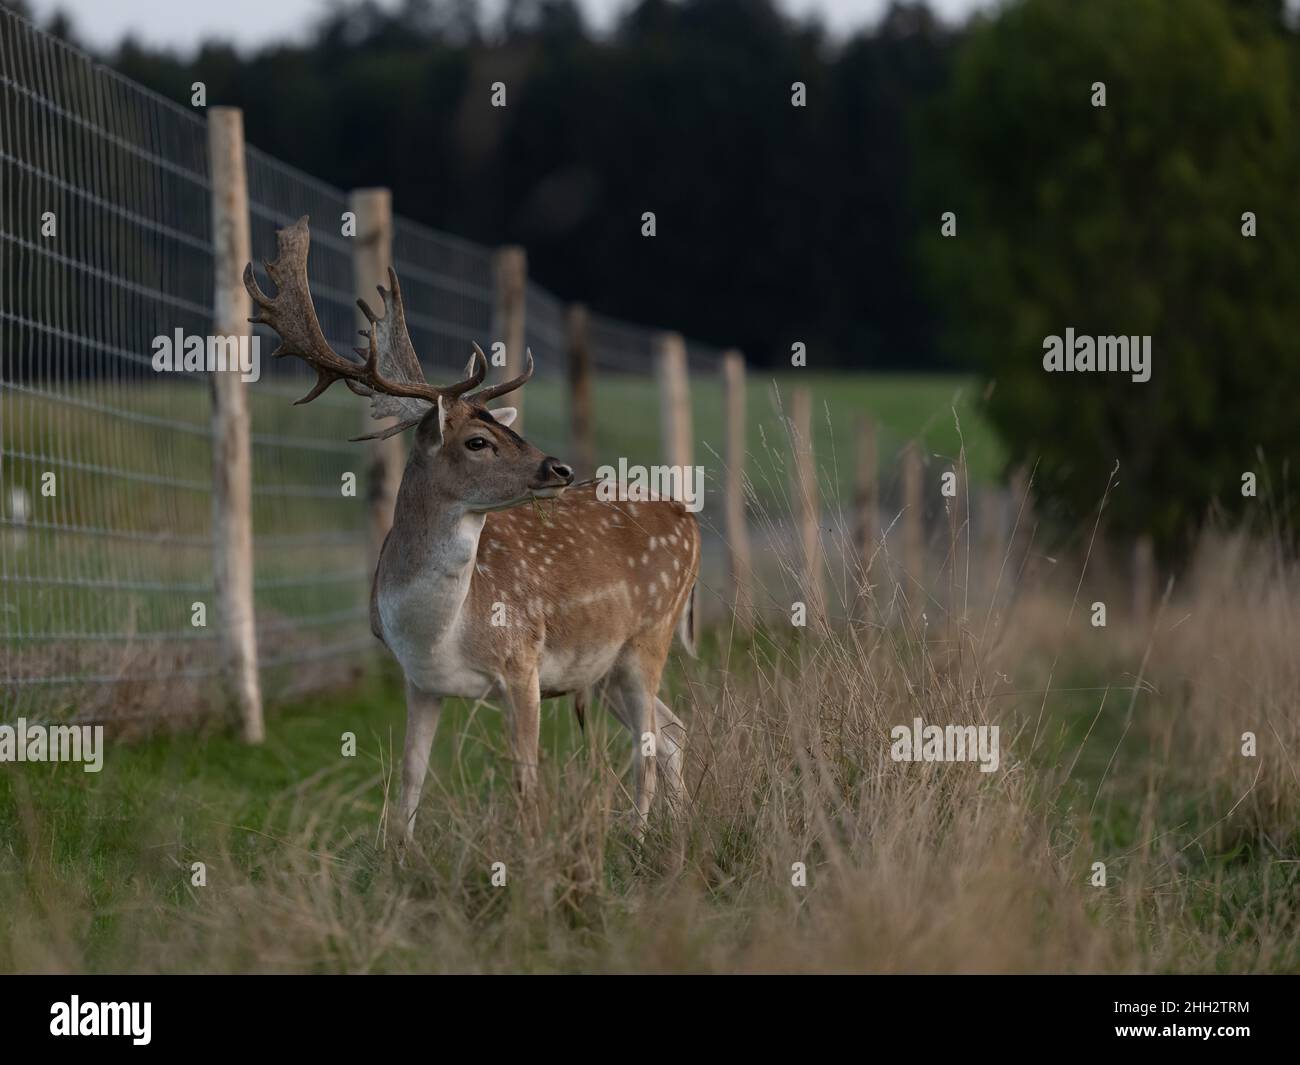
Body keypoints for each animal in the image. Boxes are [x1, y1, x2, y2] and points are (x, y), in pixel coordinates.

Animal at [239, 218, 696, 842]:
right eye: (478, 441)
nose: (558, 469)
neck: (439, 630)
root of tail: (687, 516)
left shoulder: (522, 660)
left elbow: (526, 778)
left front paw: (530, 852)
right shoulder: (419, 682)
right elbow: (410, 777)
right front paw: (400, 852)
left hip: (650, 633)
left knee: (650, 744)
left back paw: (640, 834)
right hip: (603, 665)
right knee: (672, 735)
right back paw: (673, 830)